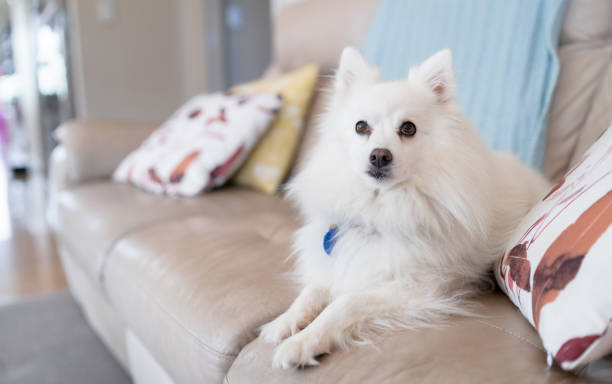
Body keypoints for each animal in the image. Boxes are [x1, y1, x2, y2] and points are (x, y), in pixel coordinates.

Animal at [258, 48, 548, 368]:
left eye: (408, 128)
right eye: (361, 127)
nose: (379, 155)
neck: (381, 206)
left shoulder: (417, 287)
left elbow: (344, 303)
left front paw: (304, 342)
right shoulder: (339, 263)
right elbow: (311, 292)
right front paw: (284, 322)